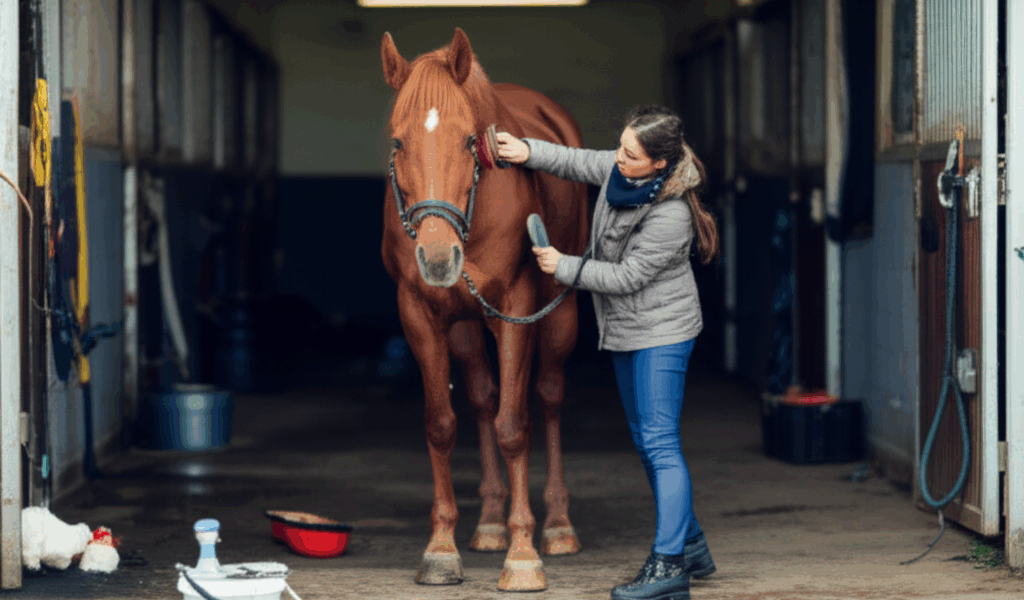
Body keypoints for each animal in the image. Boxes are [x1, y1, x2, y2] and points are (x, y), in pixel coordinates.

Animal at [380, 28, 589, 591]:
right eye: (397, 142)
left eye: (469, 141)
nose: (436, 258)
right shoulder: (419, 314)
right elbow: (442, 424)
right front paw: (441, 549)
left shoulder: (515, 307)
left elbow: (514, 425)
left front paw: (523, 556)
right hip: (465, 328)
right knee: (480, 397)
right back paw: (491, 522)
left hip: (558, 315)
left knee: (551, 397)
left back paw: (558, 526)